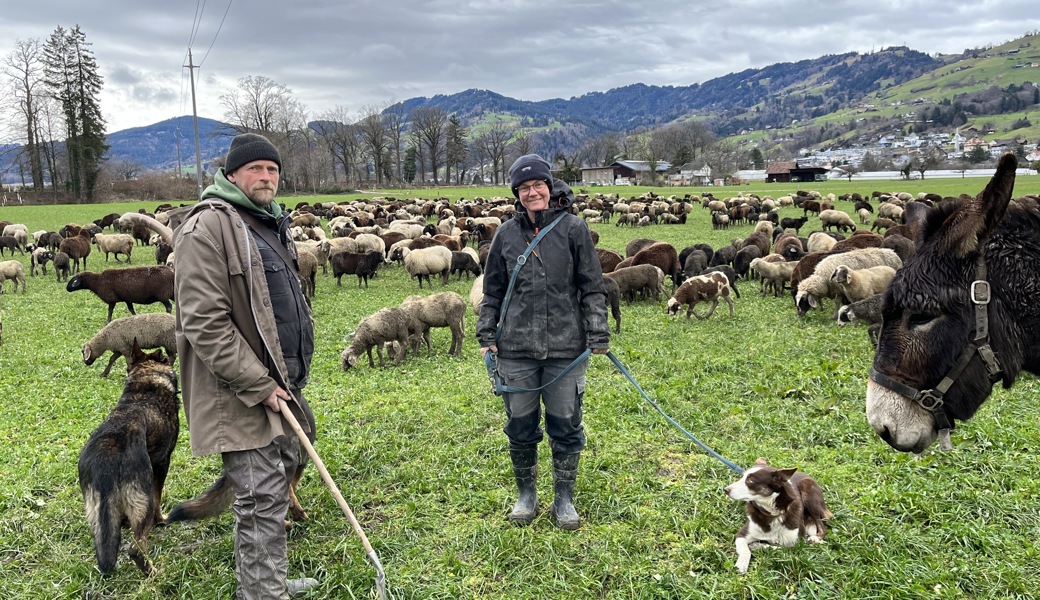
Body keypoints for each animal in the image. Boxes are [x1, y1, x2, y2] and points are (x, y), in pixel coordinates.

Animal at [78, 338, 179, 574]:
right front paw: (162, 520)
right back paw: (153, 572)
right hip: (142, 499)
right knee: (135, 548)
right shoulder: (163, 463)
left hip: (96, 512)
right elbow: (159, 498)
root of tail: (106, 456)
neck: (145, 383)